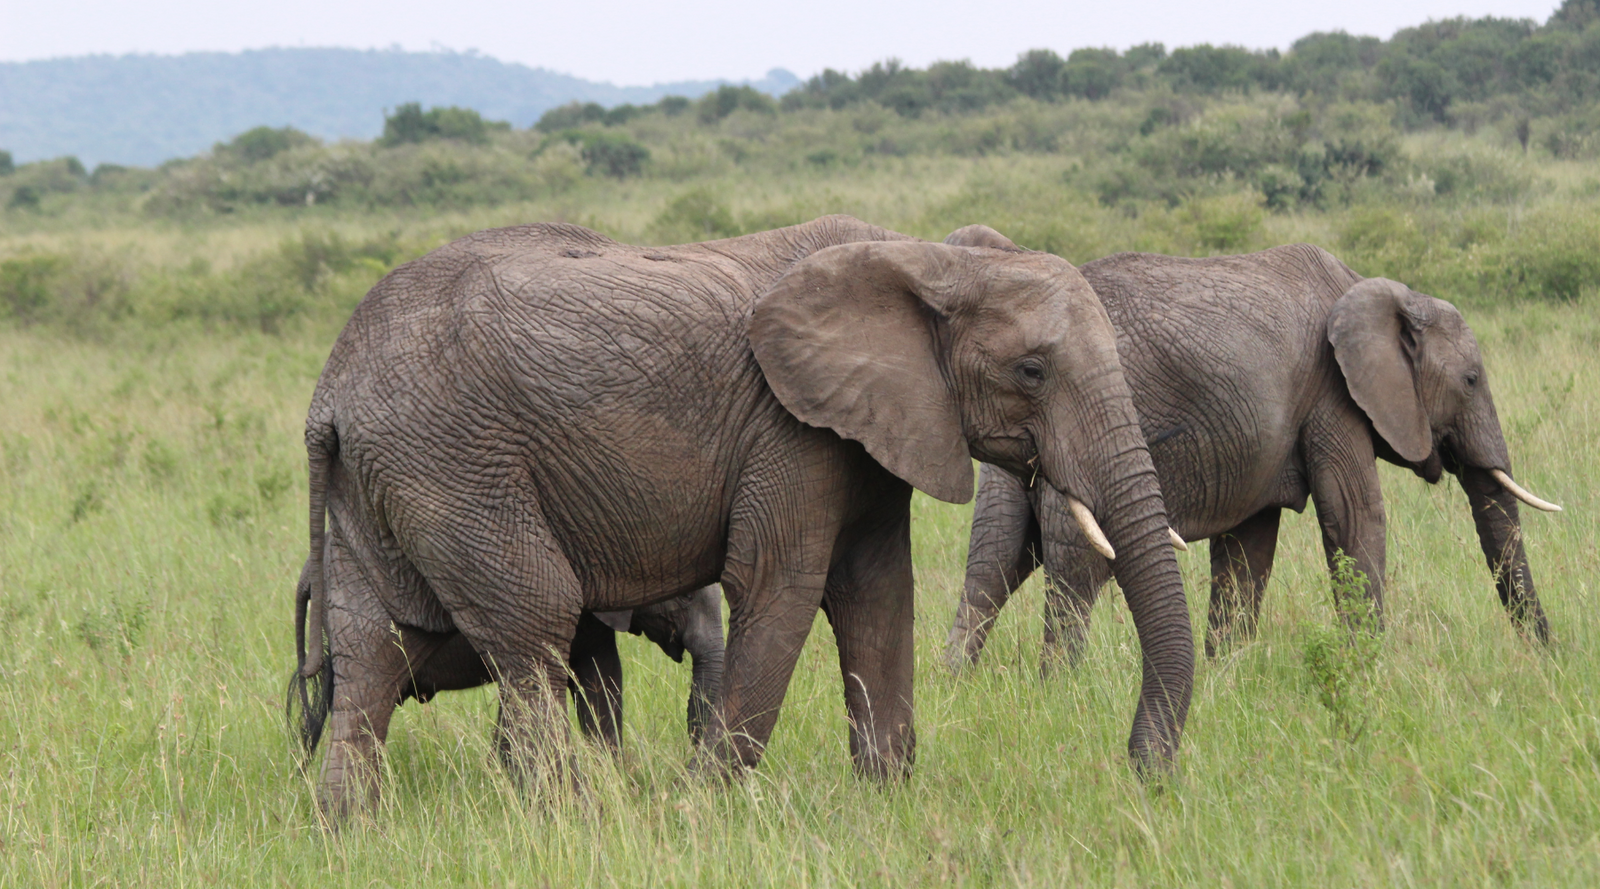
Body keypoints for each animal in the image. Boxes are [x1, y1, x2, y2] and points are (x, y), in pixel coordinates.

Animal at [943, 227, 1561, 675]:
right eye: (1473, 380)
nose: (1551, 659)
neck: (1383, 291)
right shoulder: (1332, 395)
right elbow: (1354, 516)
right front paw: (1369, 673)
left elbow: (1248, 549)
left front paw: (1225, 680)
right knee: (1077, 565)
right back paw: (1061, 690)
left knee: (996, 560)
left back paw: (957, 685)